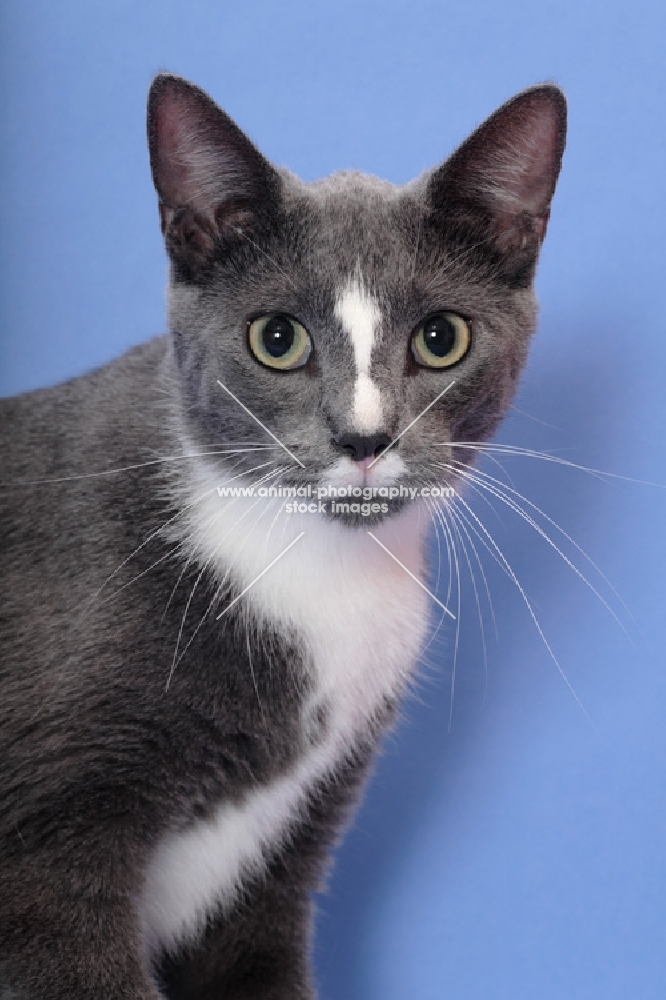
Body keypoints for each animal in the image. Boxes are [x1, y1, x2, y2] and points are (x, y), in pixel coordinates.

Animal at [0, 74, 564, 996]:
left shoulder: (288, 847)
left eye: (442, 338)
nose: (364, 439)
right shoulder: (42, 853)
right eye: (276, 339)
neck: (316, 572)